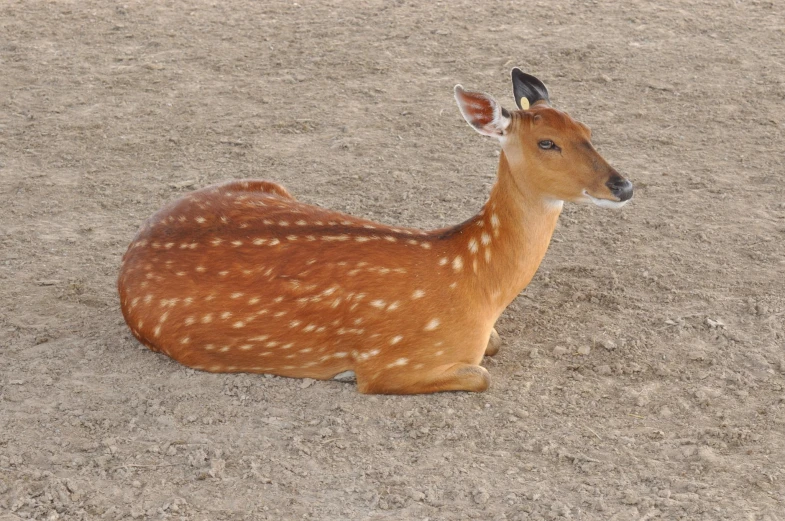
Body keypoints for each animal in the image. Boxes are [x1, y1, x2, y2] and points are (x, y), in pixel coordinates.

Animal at [116, 69, 632, 394]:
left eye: (588, 129)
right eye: (547, 142)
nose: (623, 185)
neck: (477, 285)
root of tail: (135, 245)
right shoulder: (393, 363)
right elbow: (481, 374)